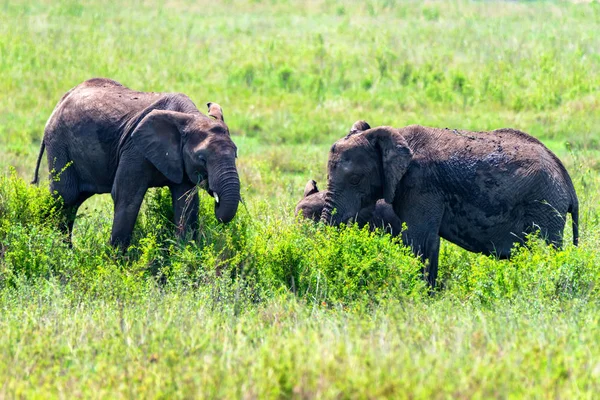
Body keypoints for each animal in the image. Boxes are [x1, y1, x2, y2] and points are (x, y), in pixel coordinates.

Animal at [31, 76, 240, 248]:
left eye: (236, 154)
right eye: (202, 158)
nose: (215, 199)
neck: (190, 116)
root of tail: (61, 101)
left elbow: (185, 203)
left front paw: (183, 254)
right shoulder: (135, 150)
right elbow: (126, 197)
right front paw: (117, 264)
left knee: (74, 200)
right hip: (59, 143)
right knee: (65, 196)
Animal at [322, 119, 580, 288]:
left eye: (355, 179)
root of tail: (566, 180)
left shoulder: (421, 184)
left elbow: (419, 240)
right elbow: (428, 242)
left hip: (544, 205)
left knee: (546, 248)